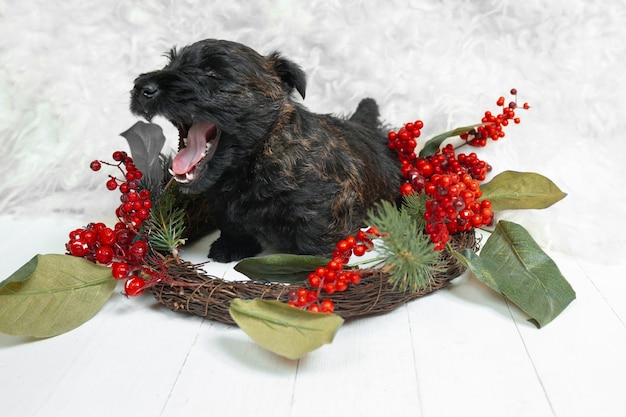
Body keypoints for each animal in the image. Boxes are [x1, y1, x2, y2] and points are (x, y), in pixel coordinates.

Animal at [129, 39, 398, 260]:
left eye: (212, 72)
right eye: (170, 63)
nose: (143, 88)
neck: (253, 160)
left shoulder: (329, 206)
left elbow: (318, 238)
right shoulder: (221, 204)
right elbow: (231, 225)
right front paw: (232, 247)